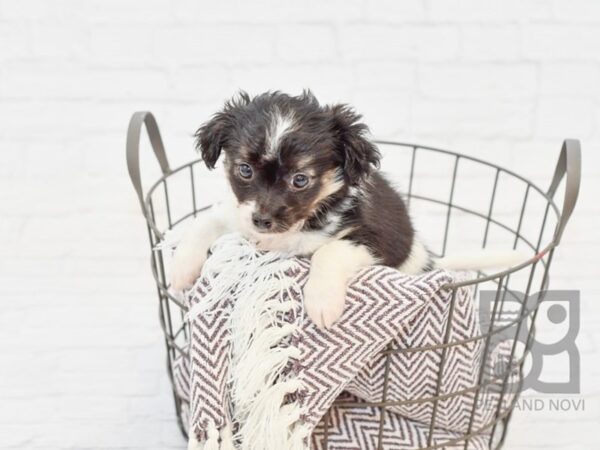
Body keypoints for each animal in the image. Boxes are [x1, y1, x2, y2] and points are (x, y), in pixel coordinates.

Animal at [168, 90, 516, 326]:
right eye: (244, 170)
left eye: (300, 179)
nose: (262, 221)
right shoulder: (237, 214)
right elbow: (205, 221)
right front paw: (182, 268)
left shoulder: (378, 240)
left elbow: (329, 250)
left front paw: (322, 301)